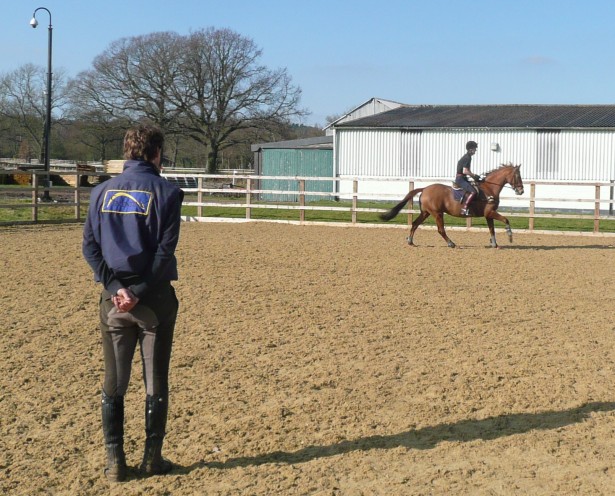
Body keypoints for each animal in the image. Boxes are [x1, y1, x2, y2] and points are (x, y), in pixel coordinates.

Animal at [380, 163, 524, 248]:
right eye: (518, 176)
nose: (521, 191)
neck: (489, 188)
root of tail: (425, 188)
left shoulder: (488, 215)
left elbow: (492, 229)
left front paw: (494, 243)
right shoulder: (490, 213)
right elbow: (506, 220)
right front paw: (510, 236)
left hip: (426, 212)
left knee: (415, 224)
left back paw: (410, 241)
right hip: (437, 213)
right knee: (440, 229)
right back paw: (451, 243)